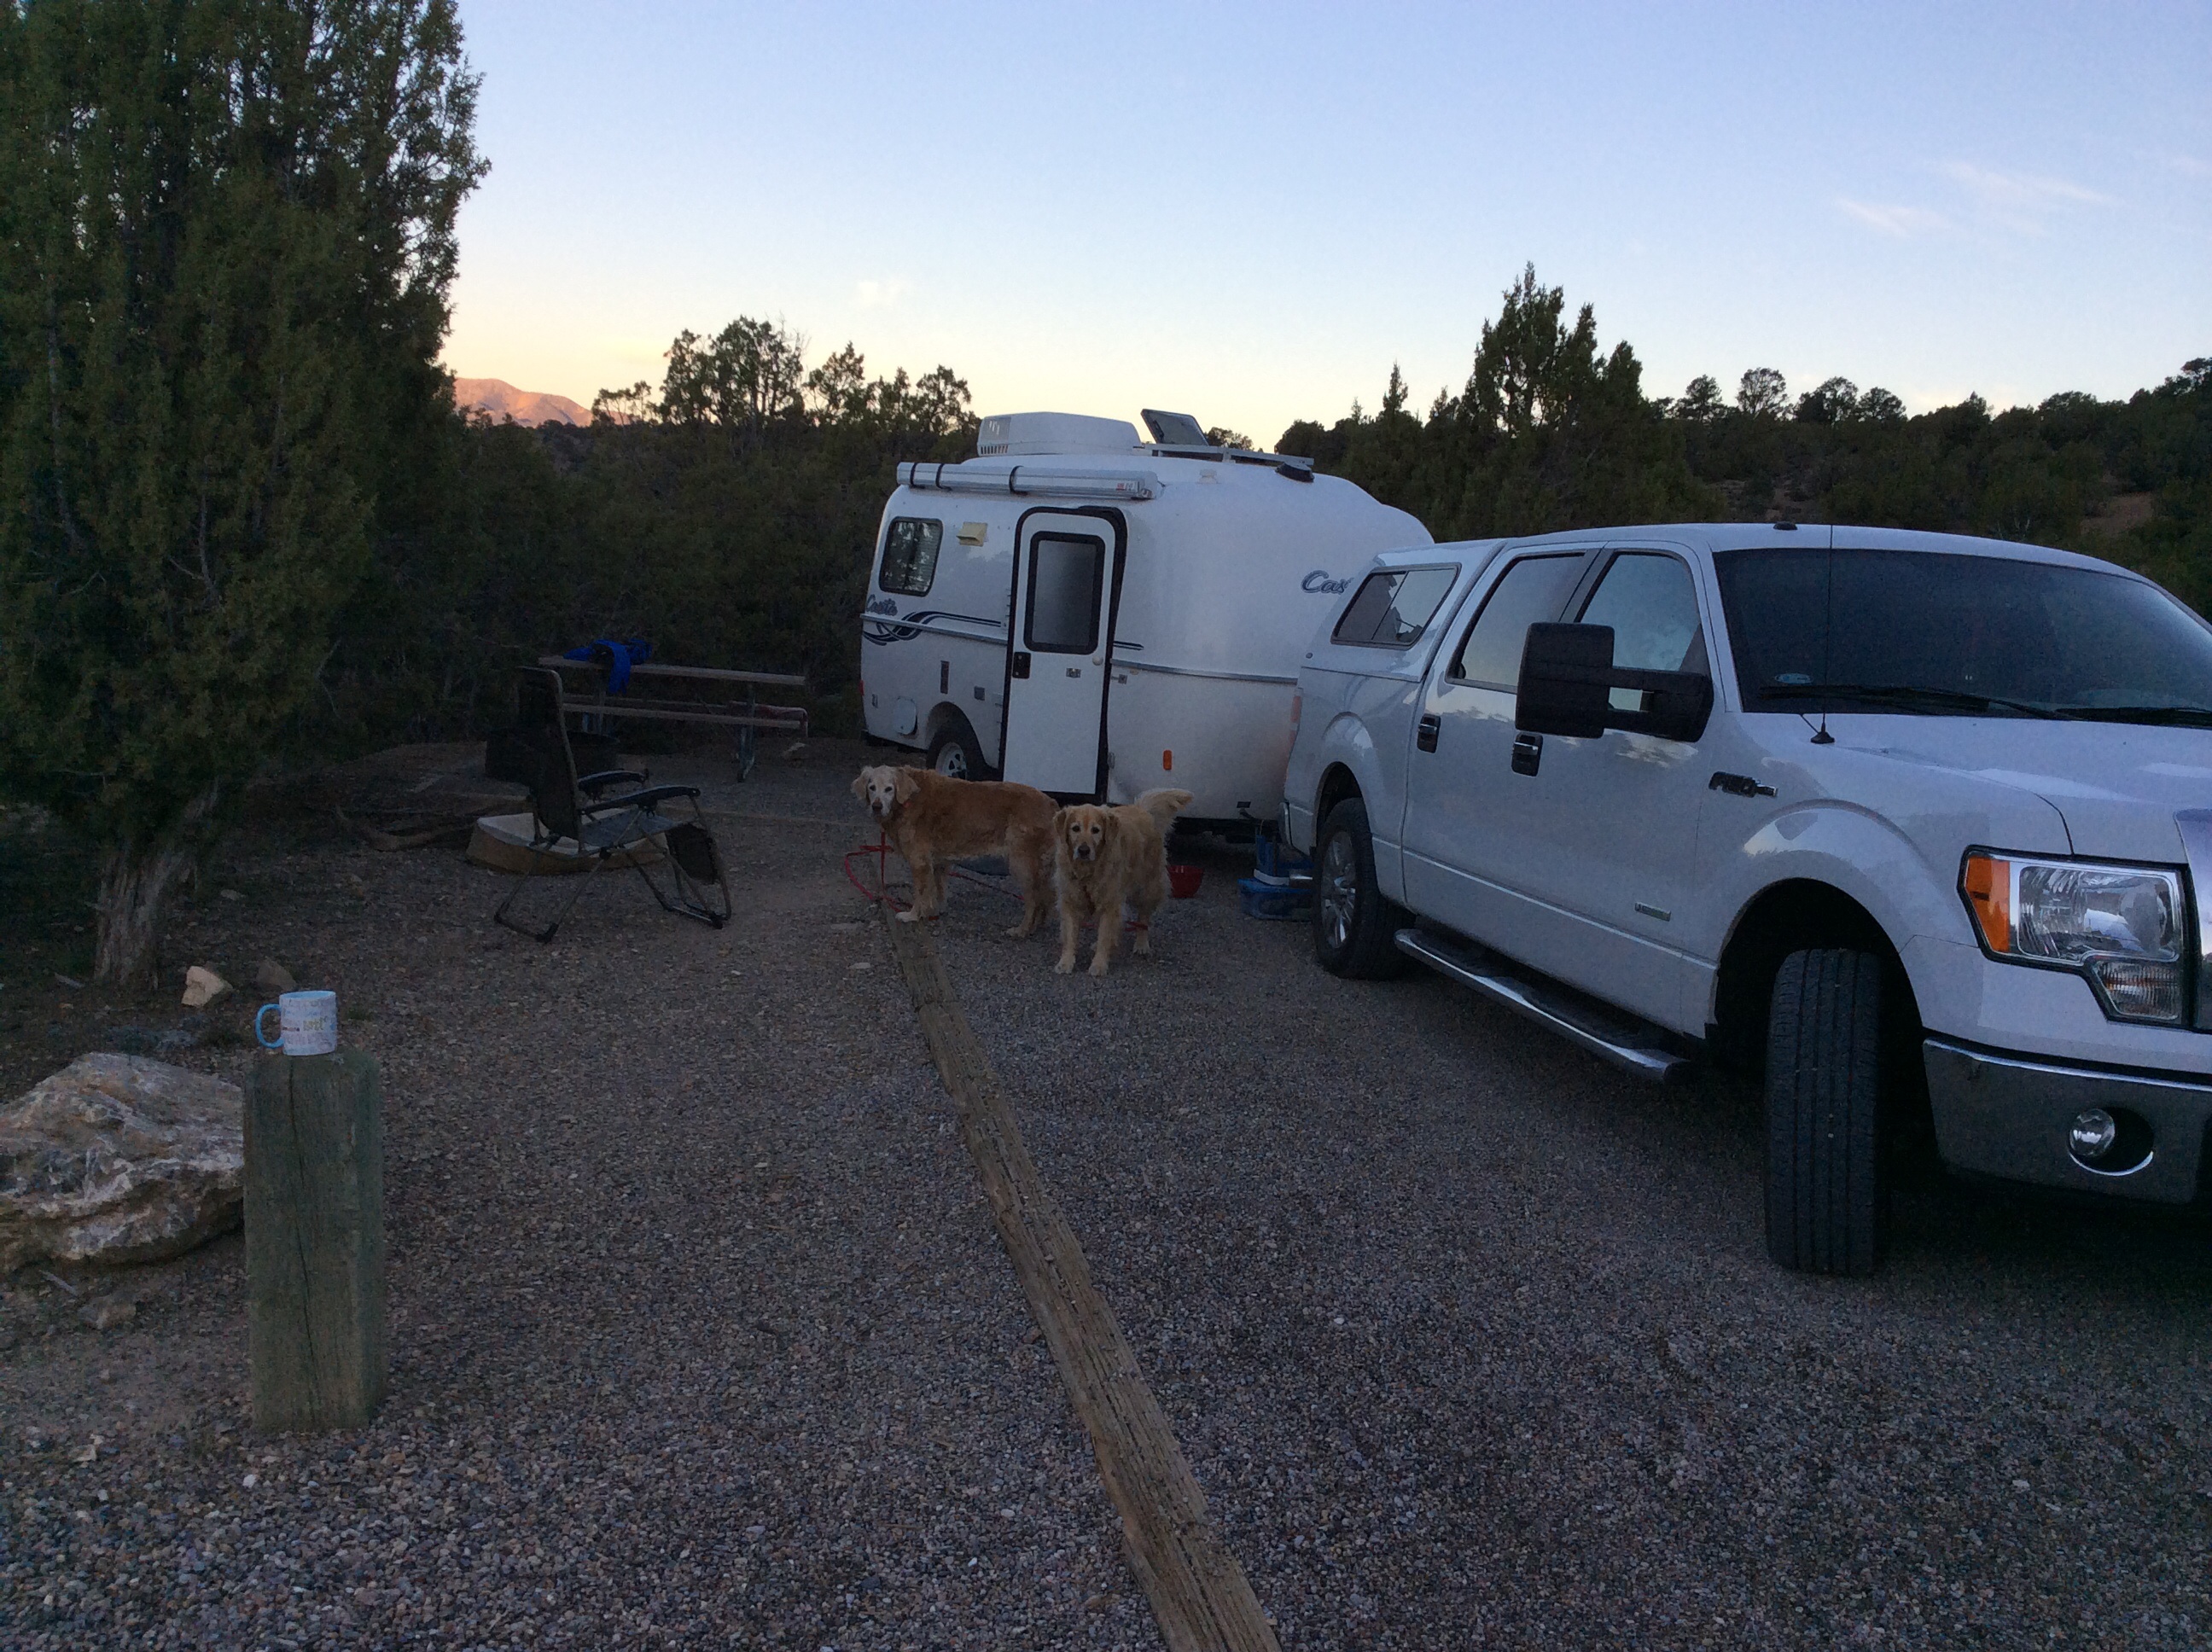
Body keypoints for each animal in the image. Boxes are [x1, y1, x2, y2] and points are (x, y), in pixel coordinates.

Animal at [851, 764, 1057, 935]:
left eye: (889, 789)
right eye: (871, 787)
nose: (877, 806)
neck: (907, 801)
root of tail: (1052, 805)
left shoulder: (919, 862)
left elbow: (920, 893)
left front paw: (913, 915)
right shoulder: (939, 862)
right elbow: (939, 888)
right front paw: (936, 910)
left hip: (1021, 864)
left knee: (1034, 900)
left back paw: (1022, 930)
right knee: (1046, 897)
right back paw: (1038, 925)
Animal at [1052, 789, 1193, 976]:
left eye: (1096, 830)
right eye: (1075, 828)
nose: (1083, 850)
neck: (1088, 871)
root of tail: (1143, 810)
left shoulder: (1111, 902)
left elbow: (1106, 934)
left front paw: (1099, 964)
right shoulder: (1070, 898)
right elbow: (1070, 934)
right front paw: (1066, 962)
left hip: (1146, 888)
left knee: (1143, 919)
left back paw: (1141, 944)